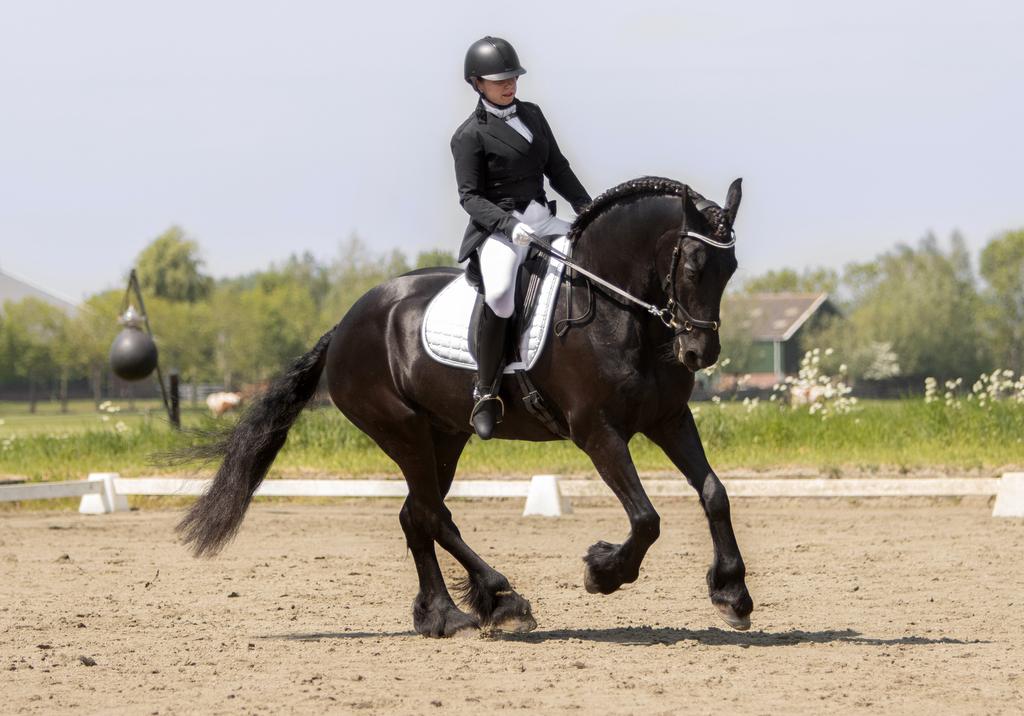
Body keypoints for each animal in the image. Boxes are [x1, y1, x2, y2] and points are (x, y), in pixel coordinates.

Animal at [177, 176, 753, 638]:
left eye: (730, 267)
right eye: (695, 264)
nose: (700, 353)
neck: (616, 309)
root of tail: (344, 326)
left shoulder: (668, 419)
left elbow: (714, 493)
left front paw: (732, 595)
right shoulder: (597, 432)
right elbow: (646, 518)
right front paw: (602, 571)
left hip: (443, 436)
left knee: (416, 515)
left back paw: (444, 615)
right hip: (402, 431)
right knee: (433, 514)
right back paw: (501, 598)